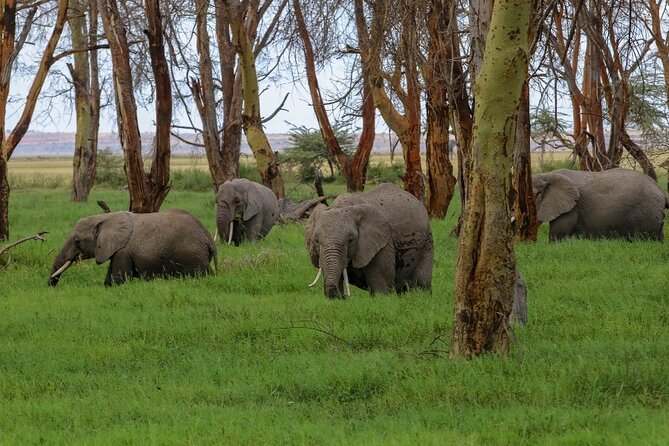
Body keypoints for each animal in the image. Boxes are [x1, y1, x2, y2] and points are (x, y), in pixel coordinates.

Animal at [49, 209, 217, 286]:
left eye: (77, 241)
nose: (51, 286)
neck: (105, 218)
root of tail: (209, 239)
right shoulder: (117, 249)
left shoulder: (123, 251)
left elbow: (118, 280)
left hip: (193, 255)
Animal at [305, 183, 433, 298]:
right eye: (316, 241)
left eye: (351, 240)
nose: (346, 297)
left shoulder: (383, 242)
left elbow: (381, 284)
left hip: (427, 239)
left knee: (422, 282)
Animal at [532, 168, 669, 241]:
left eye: (535, 195)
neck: (547, 174)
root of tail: (661, 191)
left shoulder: (571, 208)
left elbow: (558, 235)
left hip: (647, 212)